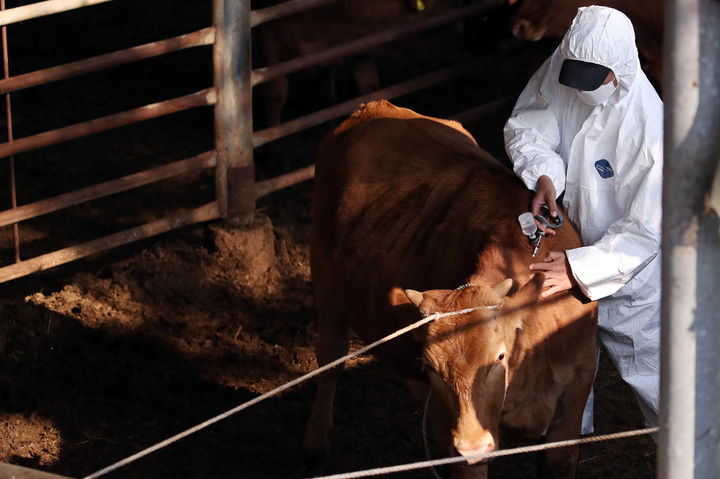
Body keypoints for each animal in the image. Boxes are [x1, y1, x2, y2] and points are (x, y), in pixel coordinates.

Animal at [300, 99, 600, 478]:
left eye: (499, 357)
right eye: (432, 367)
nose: (471, 446)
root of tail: (372, 107)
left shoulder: (579, 381)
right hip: (324, 274)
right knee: (331, 357)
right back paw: (315, 444)